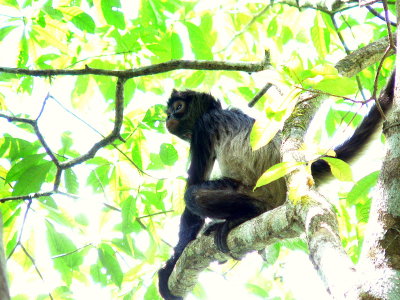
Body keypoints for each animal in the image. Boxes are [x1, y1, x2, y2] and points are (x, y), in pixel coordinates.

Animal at [158, 73, 396, 300]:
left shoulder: (203, 127)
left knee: (194, 195)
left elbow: (192, 197)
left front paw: (172, 263)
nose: (169, 117)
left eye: (178, 107)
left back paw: (248, 213)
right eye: (169, 111)